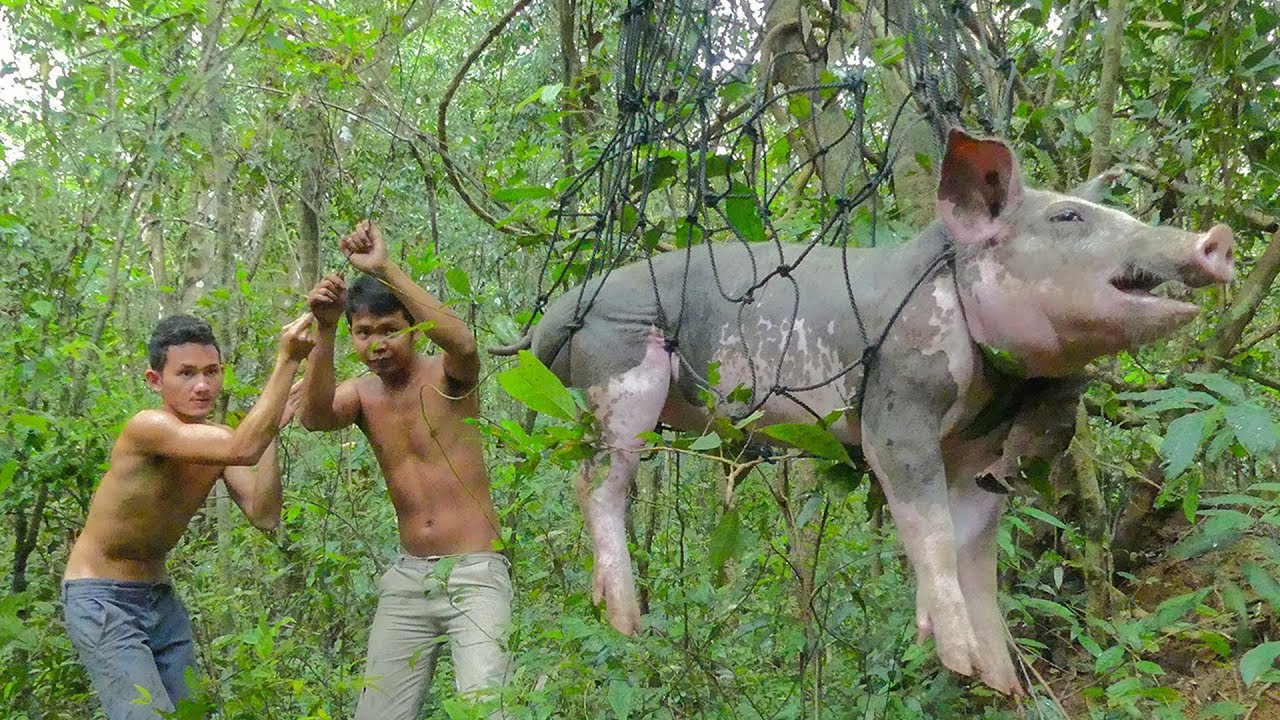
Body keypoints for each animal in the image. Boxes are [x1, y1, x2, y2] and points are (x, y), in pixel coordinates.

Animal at [493, 129, 1234, 695]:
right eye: (1068, 220)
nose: (1217, 236)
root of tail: (552, 318)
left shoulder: (976, 448)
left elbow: (972, 547)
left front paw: (999, 681)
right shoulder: (898, 399)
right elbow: (926, 521)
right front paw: (959, 662)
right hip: (618, 373)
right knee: (598, 483)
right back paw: (625, 621)